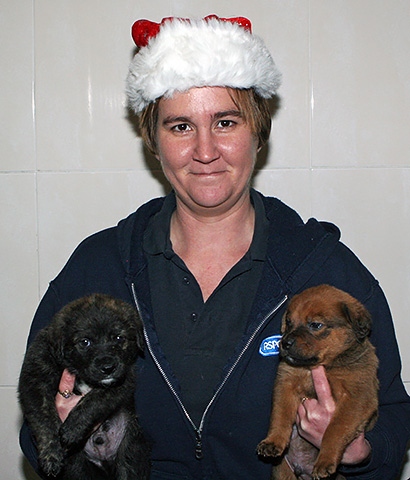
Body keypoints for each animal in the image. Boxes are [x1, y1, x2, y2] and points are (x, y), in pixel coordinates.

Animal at [18, 294, 151, 478]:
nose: (108, 368)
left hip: (131, 450)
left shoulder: (123, 381)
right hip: (78, 465)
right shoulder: (35, 380)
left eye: (118, 338)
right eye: (85, 342)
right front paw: (51, 455)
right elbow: (44, 419)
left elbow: (94, 401)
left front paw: (73, 428)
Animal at [258, 284, 380, 480]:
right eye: (289, 322)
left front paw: (325, 461)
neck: (323, 366)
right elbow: (280, 416)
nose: (284, 343)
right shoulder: (286, 384)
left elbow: (334, 429)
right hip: (283, 472)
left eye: (315, 325)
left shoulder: (356, 398)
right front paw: (273, 441)